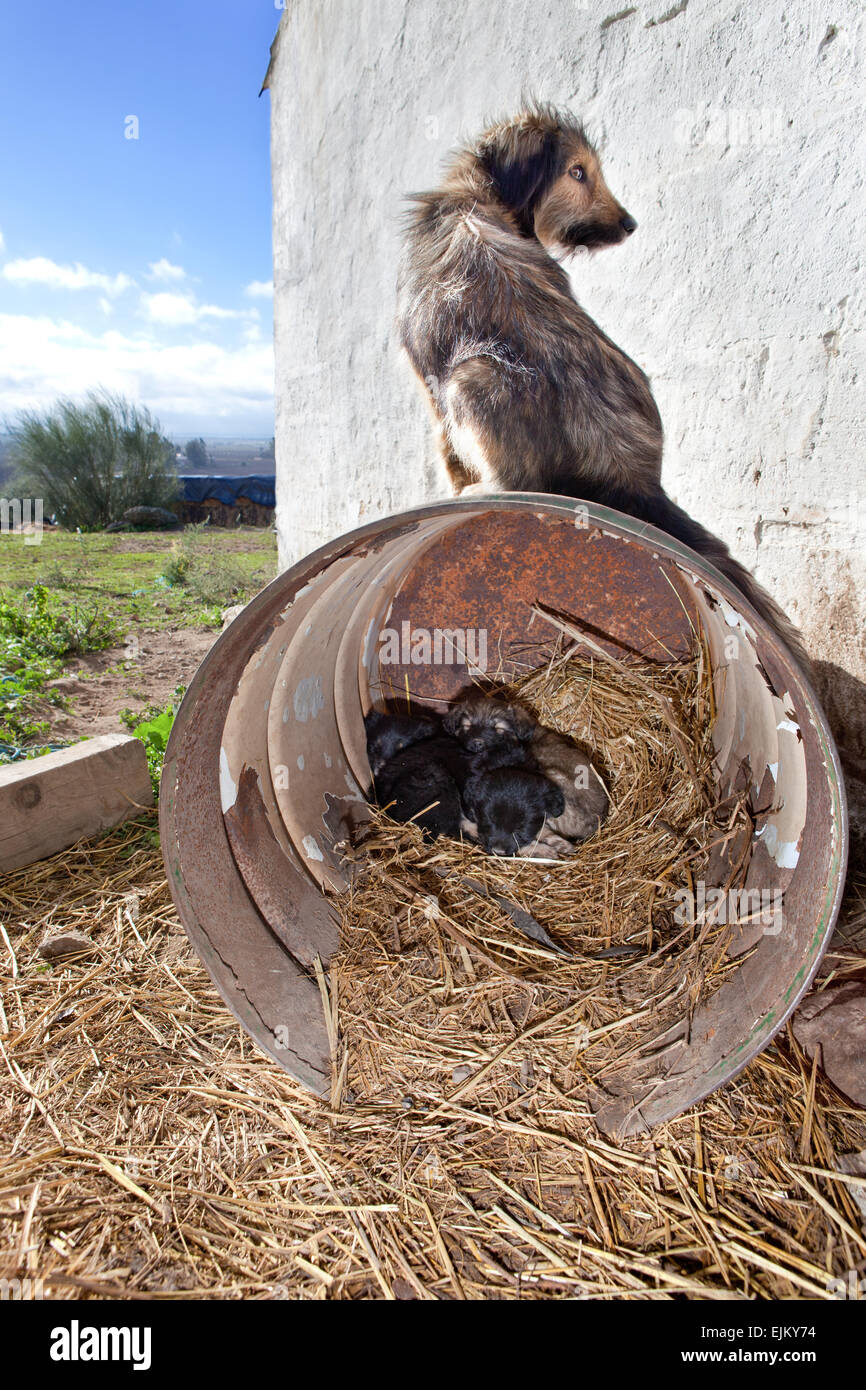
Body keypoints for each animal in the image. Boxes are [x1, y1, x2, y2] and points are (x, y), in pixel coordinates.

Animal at [400, 102, 806, 656]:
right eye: (578, 172)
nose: (630, 224)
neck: (475, 195)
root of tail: (636, 476)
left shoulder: (432, 389)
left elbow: (447, 457)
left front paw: (454, 488)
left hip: (473, 376)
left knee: (515, 478)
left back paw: (478, 492)